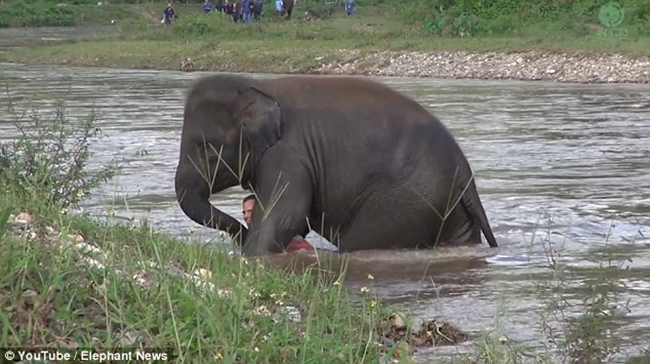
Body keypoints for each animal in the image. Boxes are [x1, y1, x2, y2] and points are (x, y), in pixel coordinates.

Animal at [172, 73, 496, 256]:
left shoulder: (288, 153)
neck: (257, 87)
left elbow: (288, 213)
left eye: (207, 146)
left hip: (405, 200)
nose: (241, 229)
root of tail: (464, 172)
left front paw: (250, 257)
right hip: (448, 208)